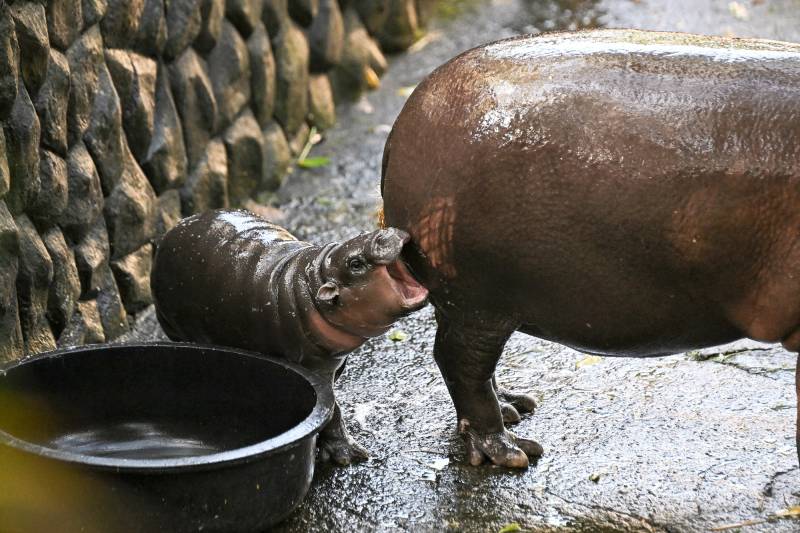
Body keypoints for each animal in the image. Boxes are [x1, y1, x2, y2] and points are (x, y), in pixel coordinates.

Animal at [154, 210, 432, 464]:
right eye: (355, 264)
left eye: (364, 232)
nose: (385, 232)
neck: (315, 278)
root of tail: (168, 233)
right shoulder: (314, 368)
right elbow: (332, 408)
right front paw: (348, 456)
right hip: (177, 329)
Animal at [380, 31, 800, 468]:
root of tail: (404, 121)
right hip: (477, 301)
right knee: (459, 361)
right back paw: (510, 451)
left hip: (467, 302)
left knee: (469, 362)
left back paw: (515, 407)